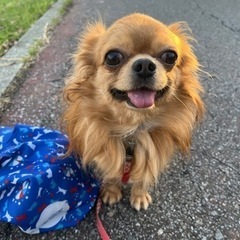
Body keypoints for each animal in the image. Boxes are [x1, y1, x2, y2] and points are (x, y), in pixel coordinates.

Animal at [62, 13, 204, 210]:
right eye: (113, 57)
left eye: (170, 56)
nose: (144, 64)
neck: (133, 129)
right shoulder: (107, 156)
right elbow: (112, 174)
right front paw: (111, 192)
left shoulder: (151, 155)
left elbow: (143, 178)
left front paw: (139, 196)